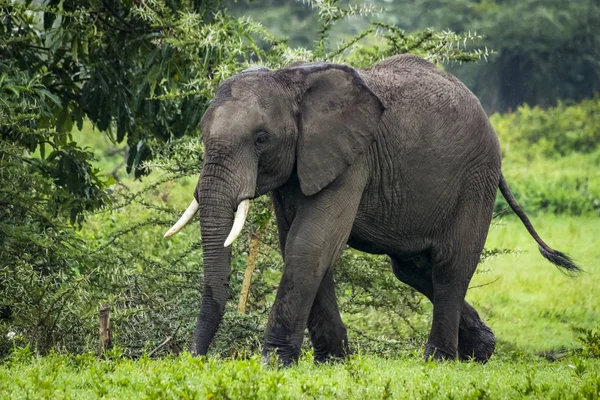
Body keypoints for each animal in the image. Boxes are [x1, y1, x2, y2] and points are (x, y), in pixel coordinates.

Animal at [162, 54, 580, 366]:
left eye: (261, 139)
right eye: (202, 136)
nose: (194, 358)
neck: (289, 80)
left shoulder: (352, 159)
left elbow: (309, 243)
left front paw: (274, 363)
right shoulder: (299, 166)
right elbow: (302, 245)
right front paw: (332, 362)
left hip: (476, 177)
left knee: (450, 266)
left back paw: (439, 360)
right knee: (412, 268)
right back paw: (480, 350)